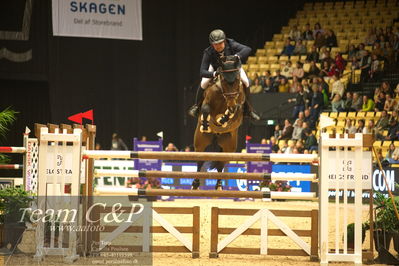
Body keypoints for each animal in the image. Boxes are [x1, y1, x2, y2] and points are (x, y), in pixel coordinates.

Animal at [192, 55, 245, 190]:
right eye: (224, 81)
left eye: (237, 80)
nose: (231, 105)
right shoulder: (206, 102)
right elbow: (206, 109)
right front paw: (207, 124)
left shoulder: (238, 105)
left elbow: (233, 111)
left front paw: (222, 119)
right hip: (200, 142)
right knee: (200, 161)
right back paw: (195, 185)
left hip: (228, 147)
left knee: (221, 163)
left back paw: (219, 186)